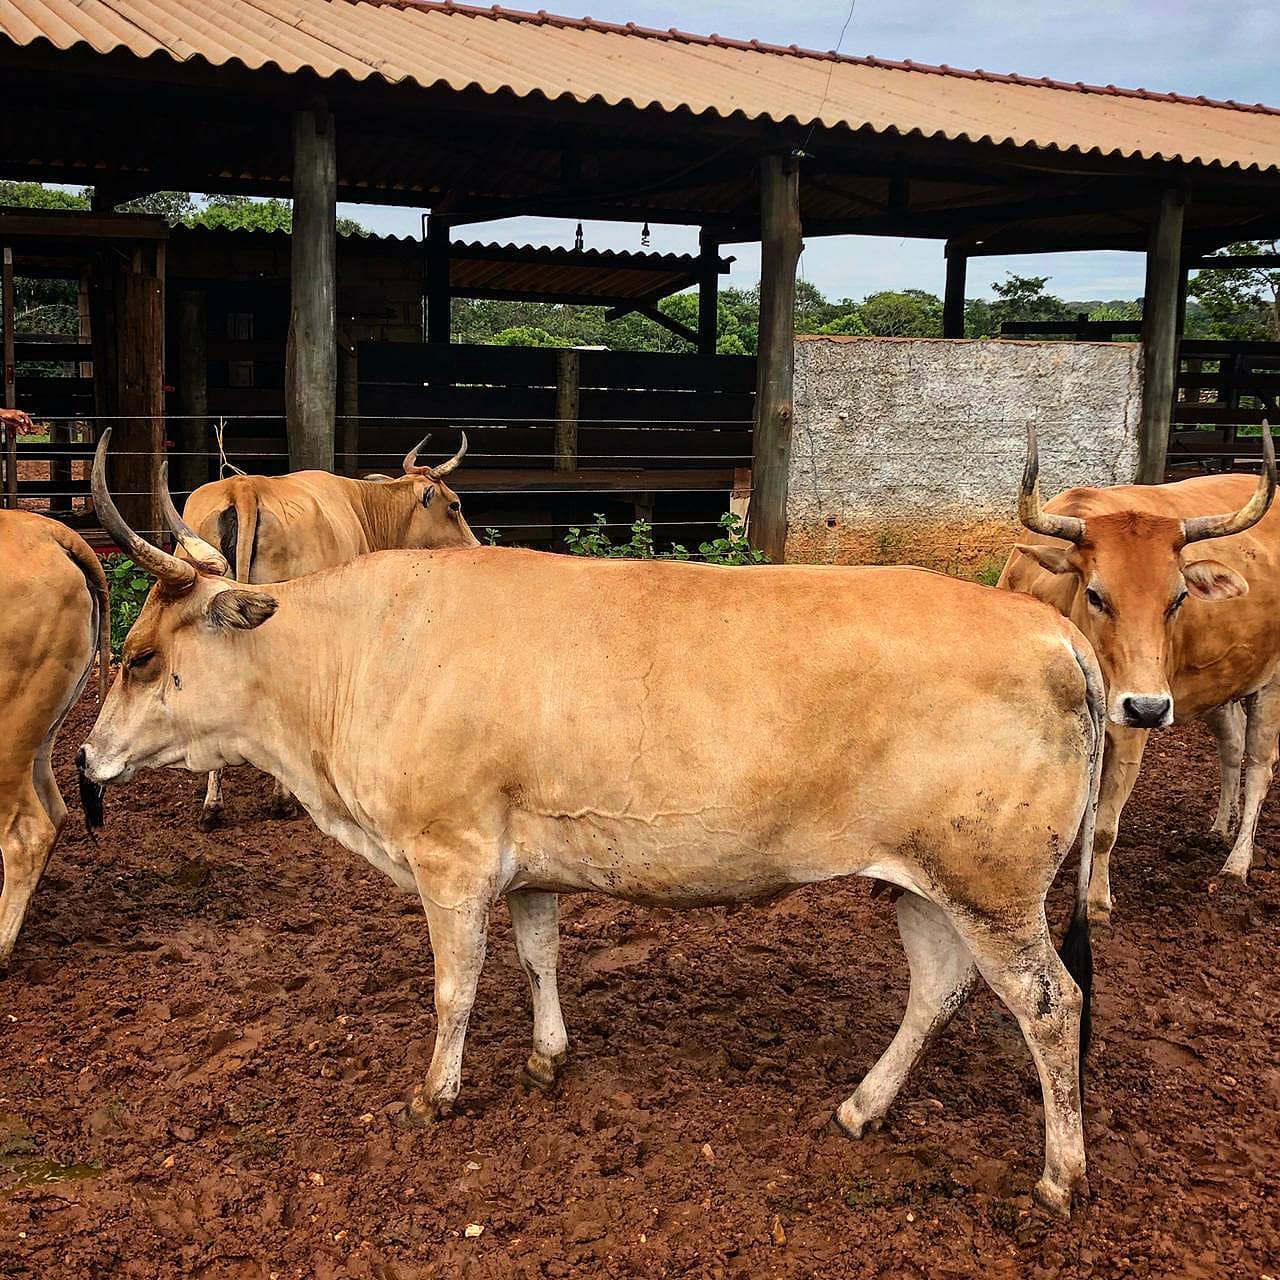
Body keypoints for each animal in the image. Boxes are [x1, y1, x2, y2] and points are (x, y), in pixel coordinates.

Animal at [180, 435, 481, 824]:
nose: (475, 546)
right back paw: (281, 800)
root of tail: (244, 487)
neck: (362, 507)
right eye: (455, 505)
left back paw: (213, 805)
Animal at [998, 422, 1280, 921]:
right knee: (1231, 746)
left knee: (1260, 766)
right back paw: (1219, 829)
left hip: (1269, 682)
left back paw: (1236, 863)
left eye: (1179, 597)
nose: (1148, 708)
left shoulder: (1127, 734)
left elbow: (1104, 826)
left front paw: (1095, 902)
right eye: (1096, 594)